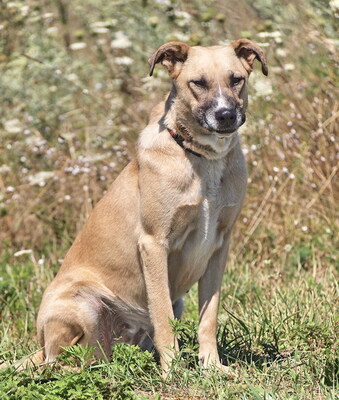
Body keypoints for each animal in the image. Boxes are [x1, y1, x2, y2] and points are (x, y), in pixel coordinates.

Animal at [34, 39, 268, 376]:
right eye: (198, 83)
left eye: (236, 79)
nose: (225, 115)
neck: (203, 158)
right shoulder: (154, 244)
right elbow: (162, 316)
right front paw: (172, 372)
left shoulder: (220, 245)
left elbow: (208, 317)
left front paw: (212, 367)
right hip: (80, 304)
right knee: (56, 365)